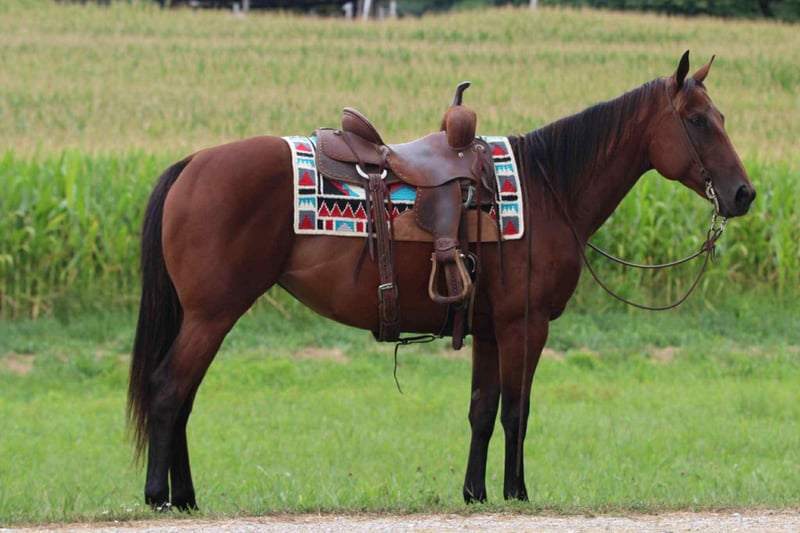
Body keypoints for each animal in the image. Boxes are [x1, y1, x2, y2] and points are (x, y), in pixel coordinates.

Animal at [127, 51, 755, 511]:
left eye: (723, 119)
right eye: (698, 121)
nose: (744, 193)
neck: (548, 186)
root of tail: (193, 163)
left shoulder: (491, 329)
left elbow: (482, 410)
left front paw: (475, 494)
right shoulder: (525, 325)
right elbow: (517, 410)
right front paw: (517, 492)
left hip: (205, 317)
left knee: (183, 397)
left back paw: (185, 497)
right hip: (212, 314)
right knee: (170, 390)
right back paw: (161, 496)